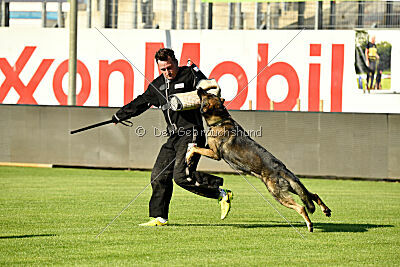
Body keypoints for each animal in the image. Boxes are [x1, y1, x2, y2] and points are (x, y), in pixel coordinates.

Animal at [188, 89, 332, 232]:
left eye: (208, 95)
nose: (199, 89)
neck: (220, 120)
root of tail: (281, 169)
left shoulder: (215, 154)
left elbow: (195, 149)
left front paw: (189, 156)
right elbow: (197, 147)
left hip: (277, 194)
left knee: (301, 207)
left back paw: (310, 225)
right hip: (292, 188)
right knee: (313, 195)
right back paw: (325, 210)